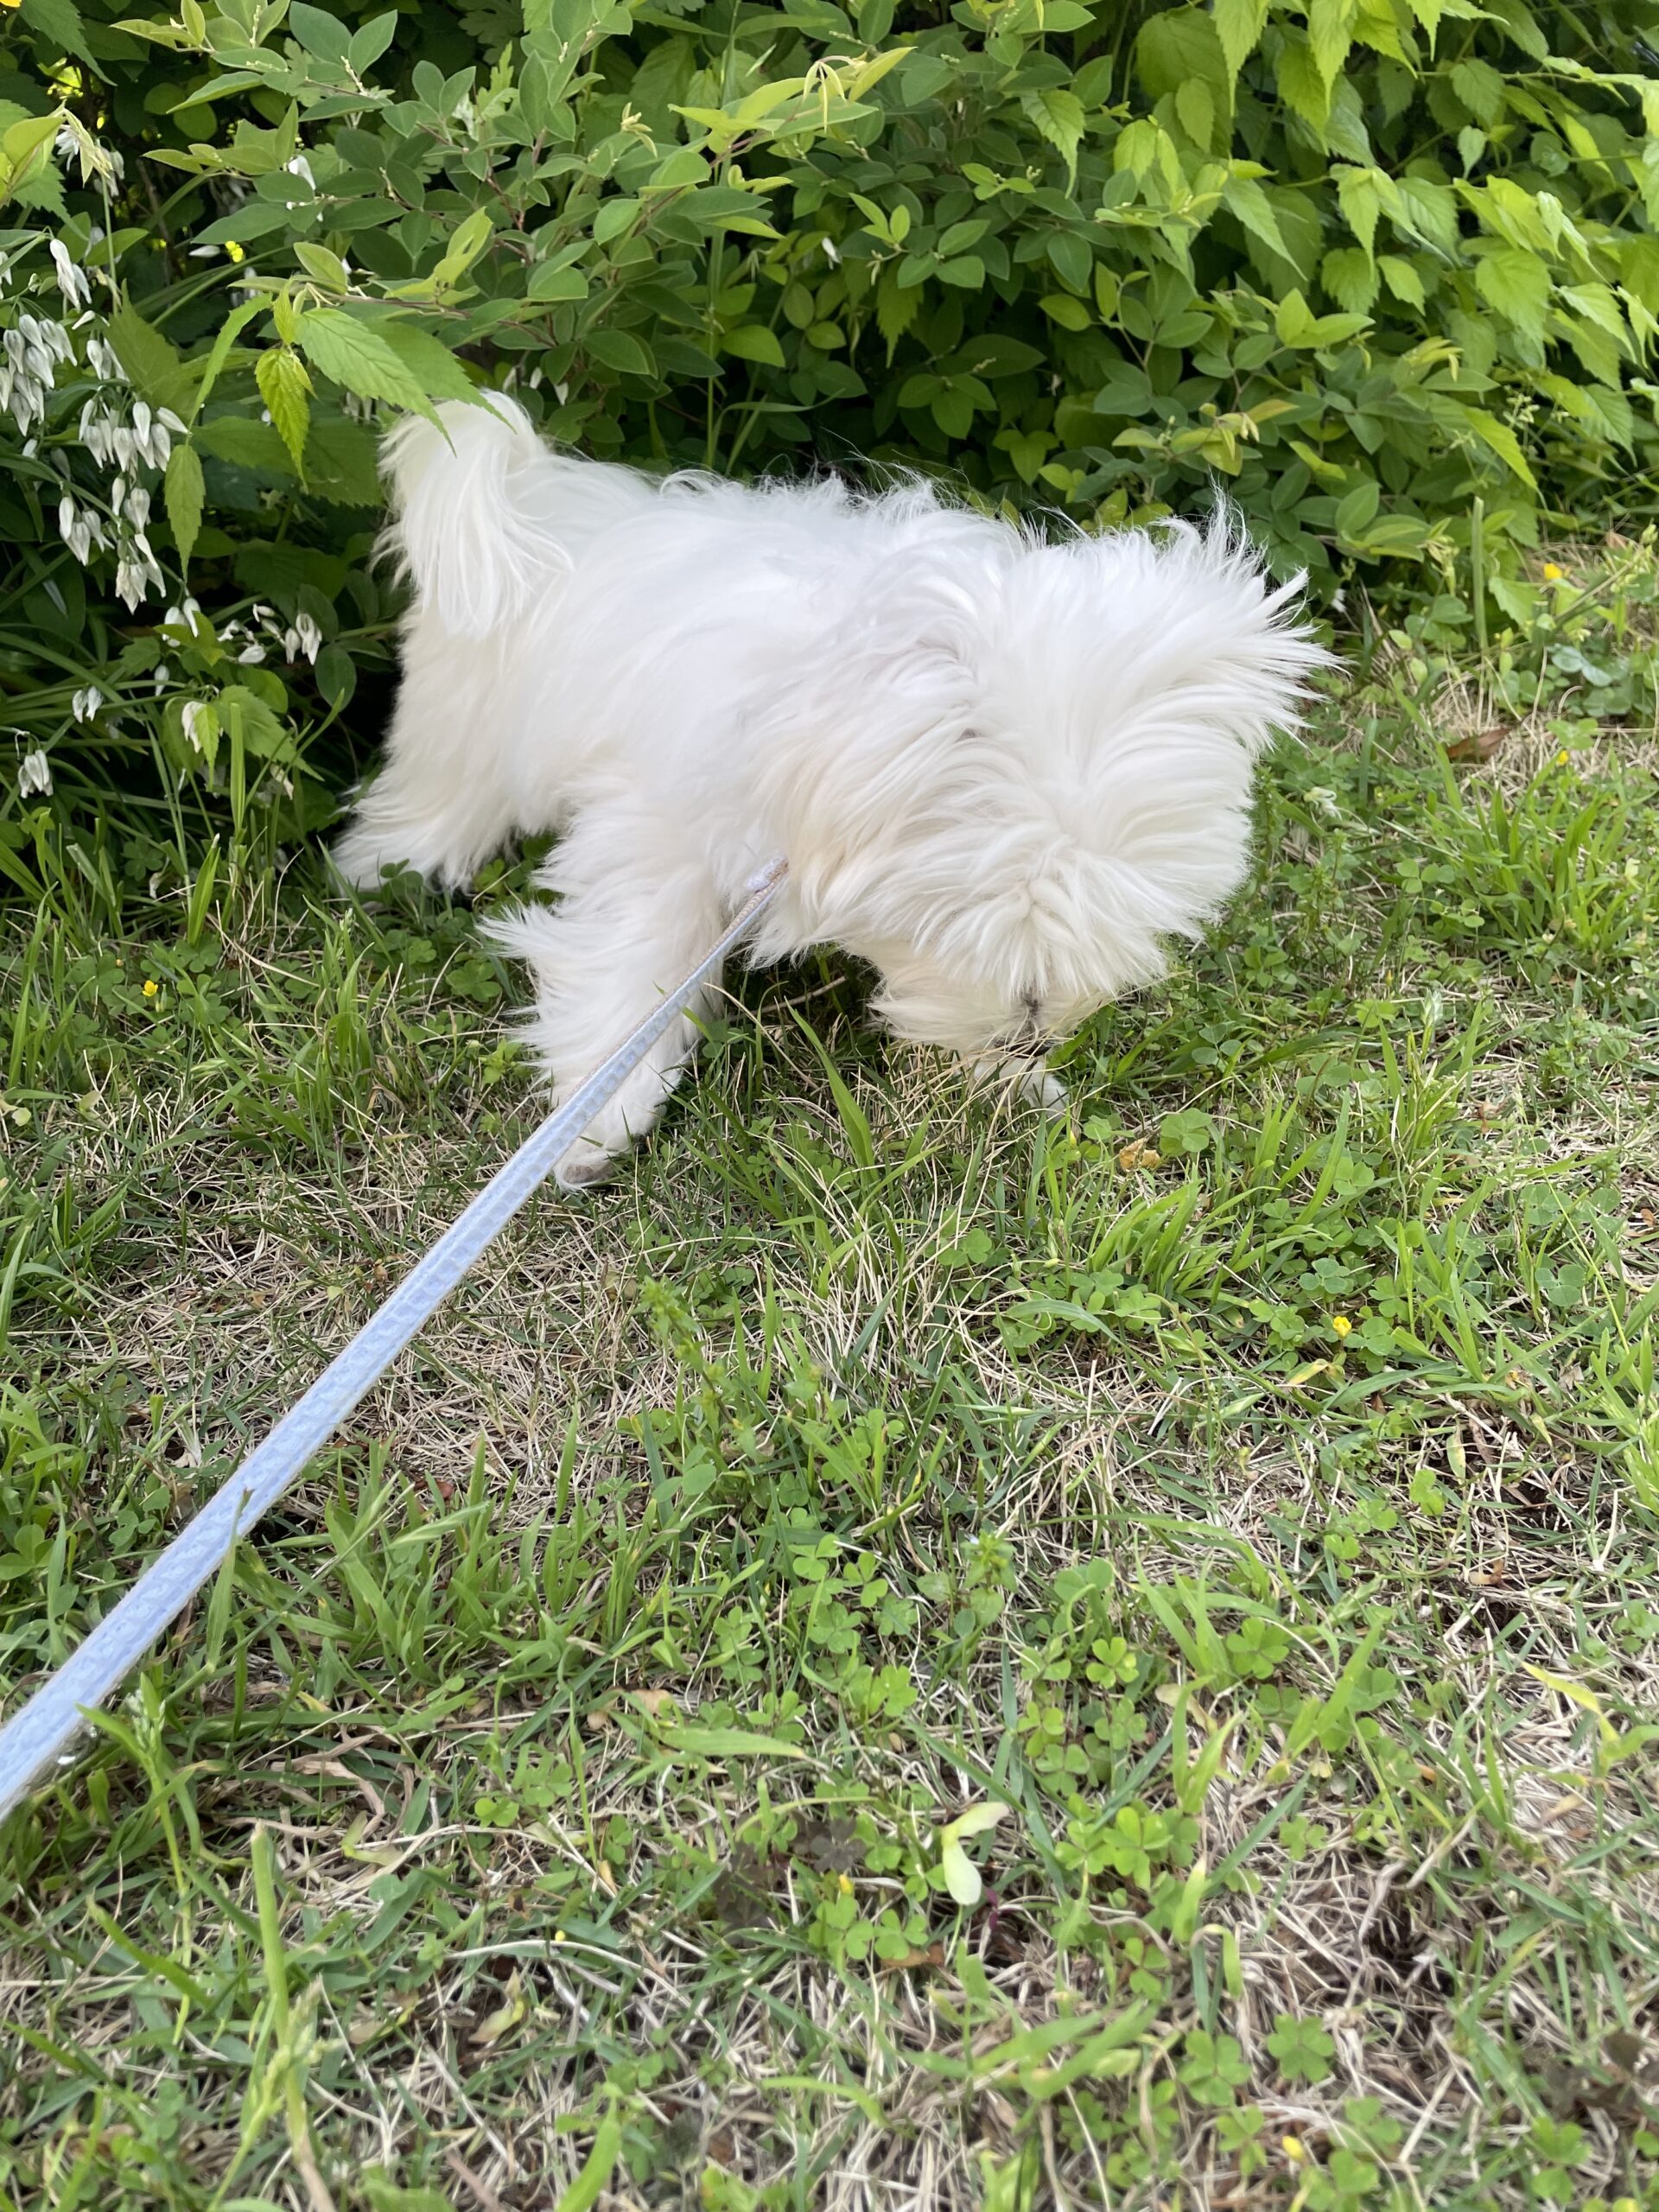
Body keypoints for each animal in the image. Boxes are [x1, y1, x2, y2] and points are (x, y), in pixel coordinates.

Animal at [335, 397, 1326, 1186]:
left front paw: (1010, 1081)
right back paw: (381, 866)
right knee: (435, 799)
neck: (809, 716)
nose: (1037, 1031)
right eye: (997, 913)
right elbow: (635, 953)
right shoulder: (657, 828)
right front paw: (599, 1111)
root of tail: (541, 489)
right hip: (464, 725)